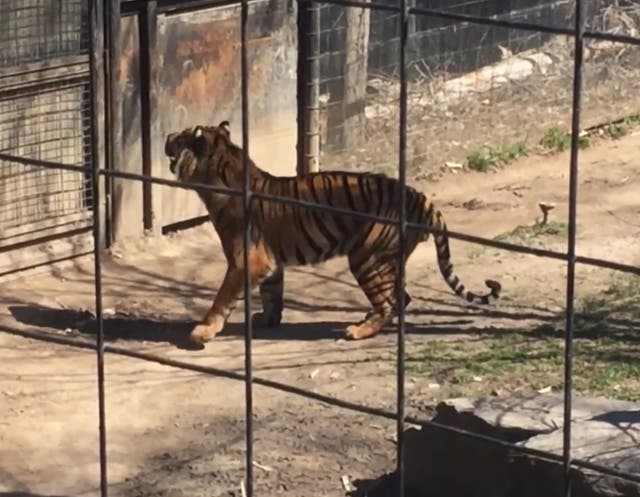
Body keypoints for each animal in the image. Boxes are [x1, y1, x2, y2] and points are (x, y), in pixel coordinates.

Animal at [164, 120, 500, 344]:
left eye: (181, 136)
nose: (166, 135)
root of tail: (419, 196)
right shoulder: (270, 263)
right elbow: (272, 294)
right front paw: (268, 320)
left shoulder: (247, 261)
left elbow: (222, 298)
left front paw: (203, 331)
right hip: (386, 259)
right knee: (401, 297)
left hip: (367, 258)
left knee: (391, 301)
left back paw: (358, 330)